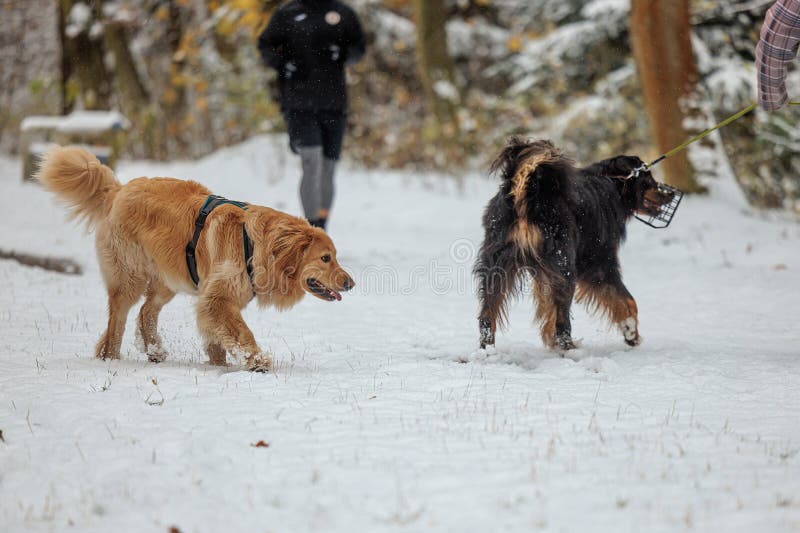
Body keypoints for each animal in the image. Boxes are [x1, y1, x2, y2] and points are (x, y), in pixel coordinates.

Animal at [476, 137, 676, 352]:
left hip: (497, 266)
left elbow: (549, 306)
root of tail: (531, 191)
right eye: (648, 178)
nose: (670, 194)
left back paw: (487, 350)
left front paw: (549, 338)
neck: (610, 184)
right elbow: (628, 300)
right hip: (564, 266)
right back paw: (569, 348)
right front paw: (631, 333)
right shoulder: (601, 265)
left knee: (487, 315)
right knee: (563, 319)